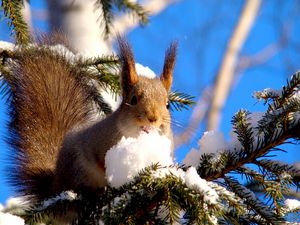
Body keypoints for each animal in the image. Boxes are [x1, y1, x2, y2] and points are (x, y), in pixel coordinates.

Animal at [8, 37, 177, 202]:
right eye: (133, 99)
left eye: (167, 104)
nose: (153, 118)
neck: (135, 137)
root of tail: (55, 185)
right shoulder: (96, 143)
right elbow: (100, 162)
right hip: (77, 168)